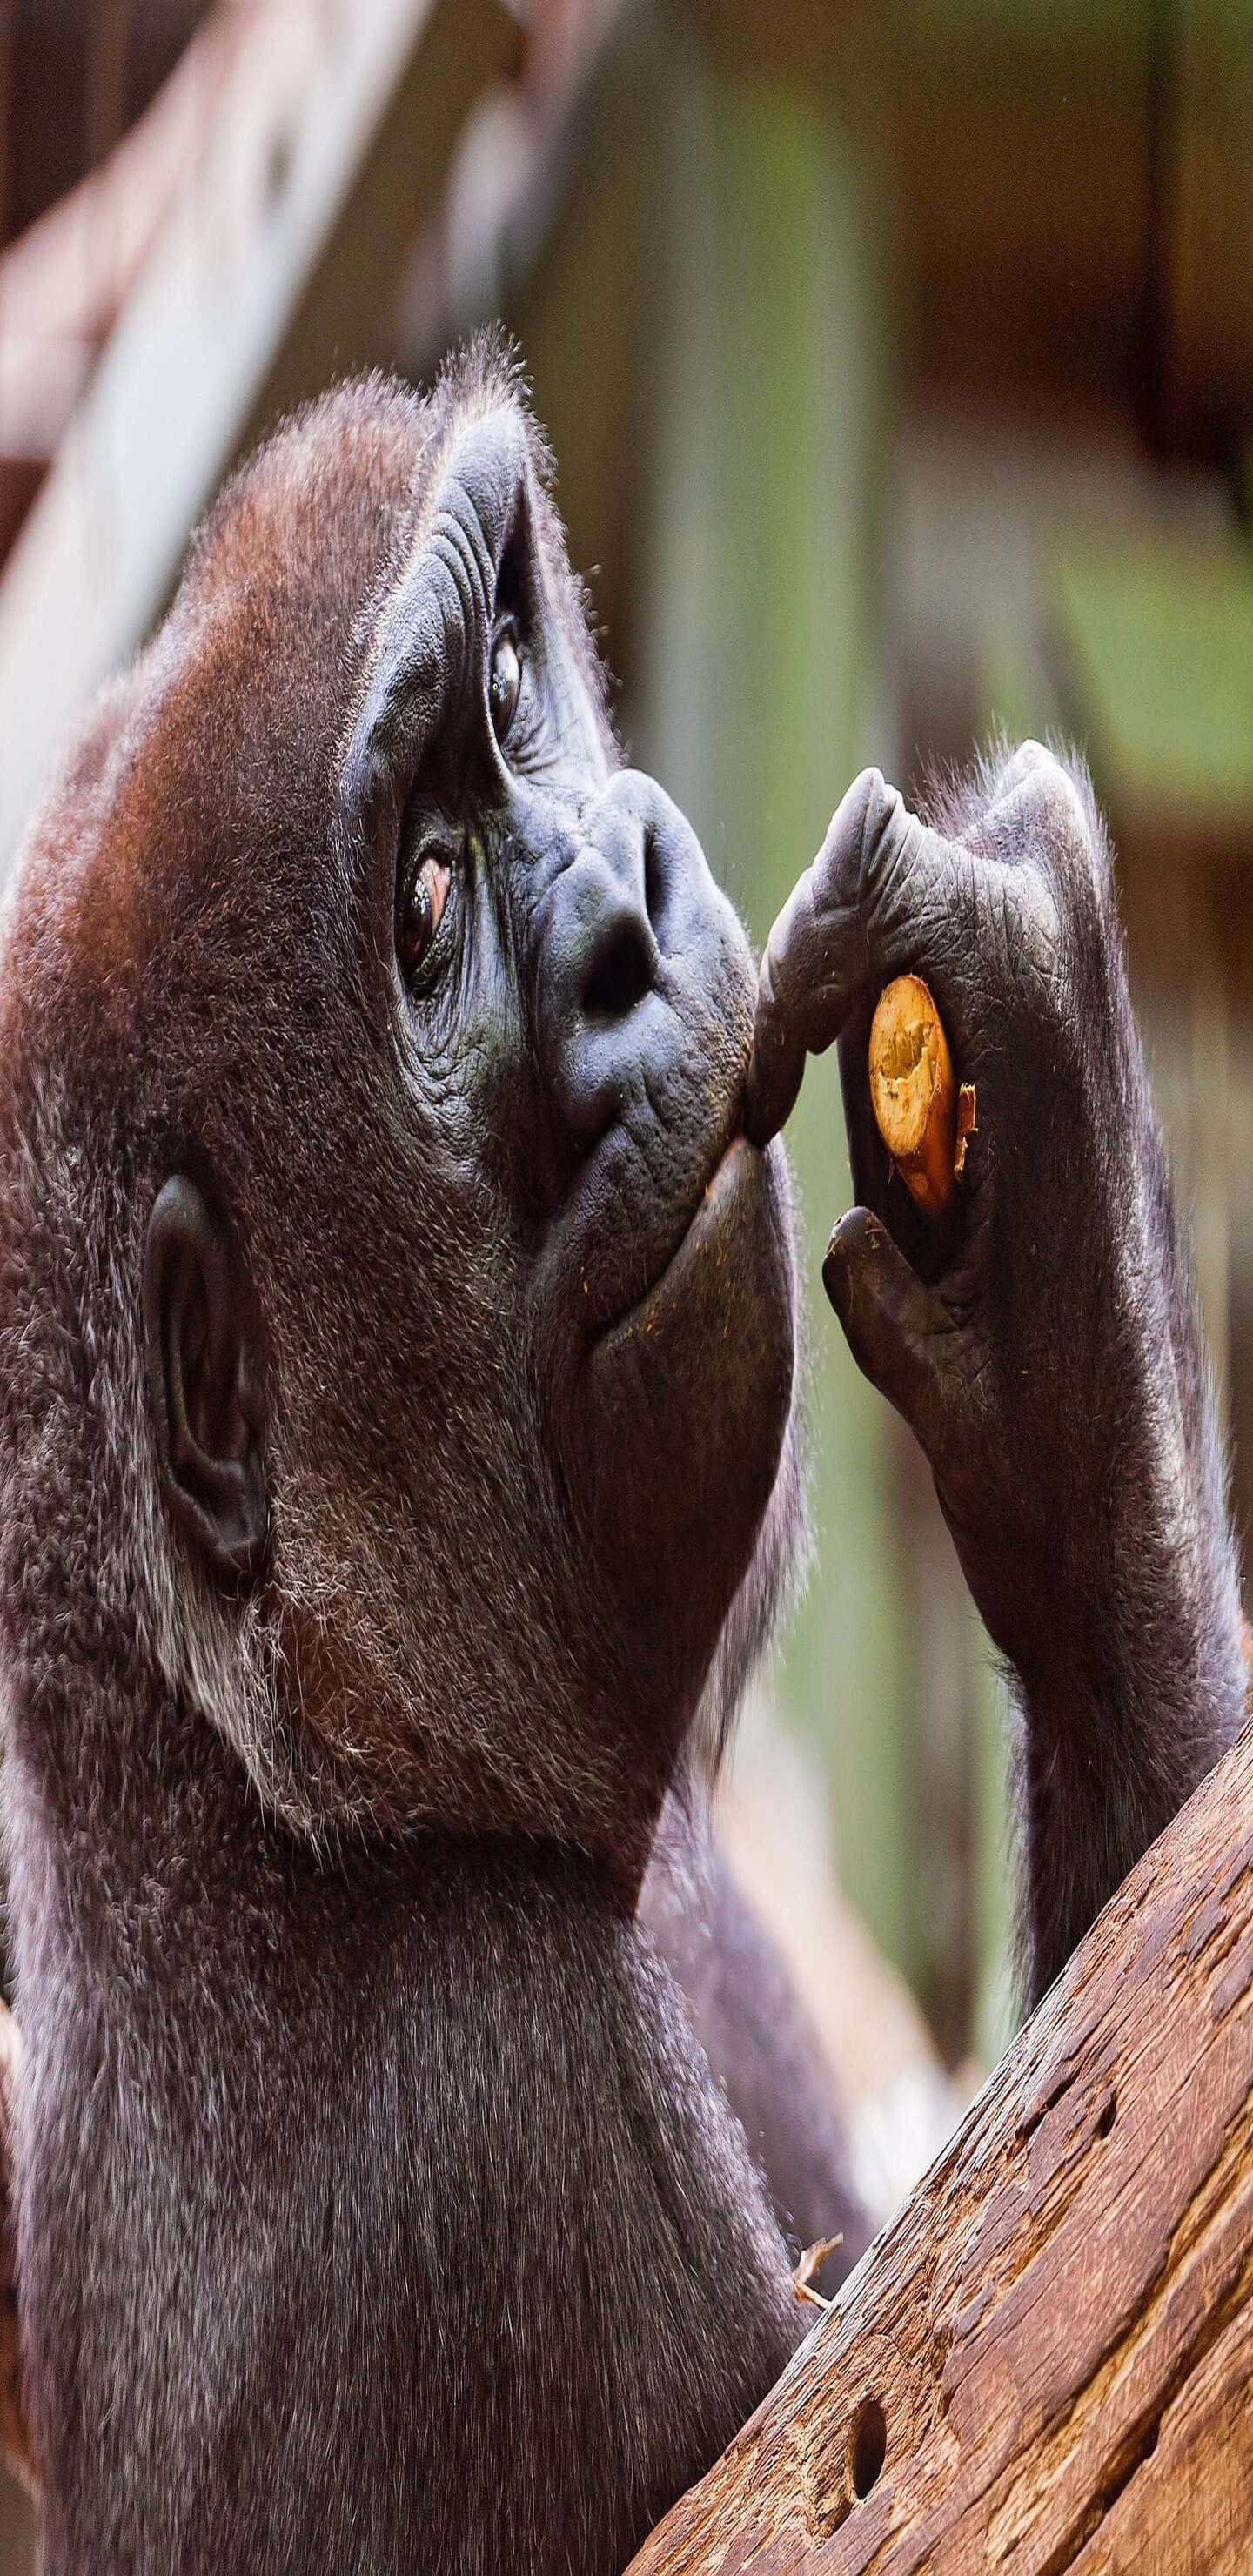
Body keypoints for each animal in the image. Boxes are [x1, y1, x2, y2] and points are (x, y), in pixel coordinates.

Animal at [0, 341, 1243, 2574]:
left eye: (513, 684)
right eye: (424, 898)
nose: (624, 903)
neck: (228, 1787)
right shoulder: (481, 2089)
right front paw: (1069, 1241)